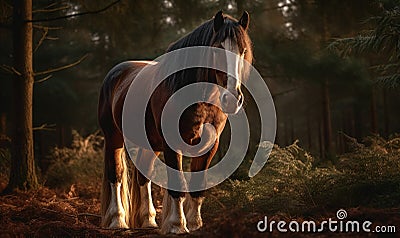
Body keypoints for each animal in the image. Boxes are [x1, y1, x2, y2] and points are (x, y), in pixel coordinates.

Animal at [98, 10, 252, 234]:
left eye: (243, 51)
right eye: (217, 49)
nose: (232, 99)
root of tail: (115, 74)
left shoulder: (209, 146)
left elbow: (197, 185)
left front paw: (195, 224)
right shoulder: (172, 145)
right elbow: (178, 184)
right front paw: (177, 224)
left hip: (151, 145)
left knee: (143, 176)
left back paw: (148, 220)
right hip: (113, 138)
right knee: (115, 175)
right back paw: (117, 220)